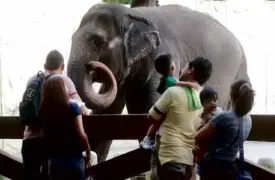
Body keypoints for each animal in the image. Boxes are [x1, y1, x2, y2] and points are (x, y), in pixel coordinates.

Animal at [66, 2, 250, 163]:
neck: (133, 15)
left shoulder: (163, 57)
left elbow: (151, 110)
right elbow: (110, 113)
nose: (92, 66)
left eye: (98, 41)